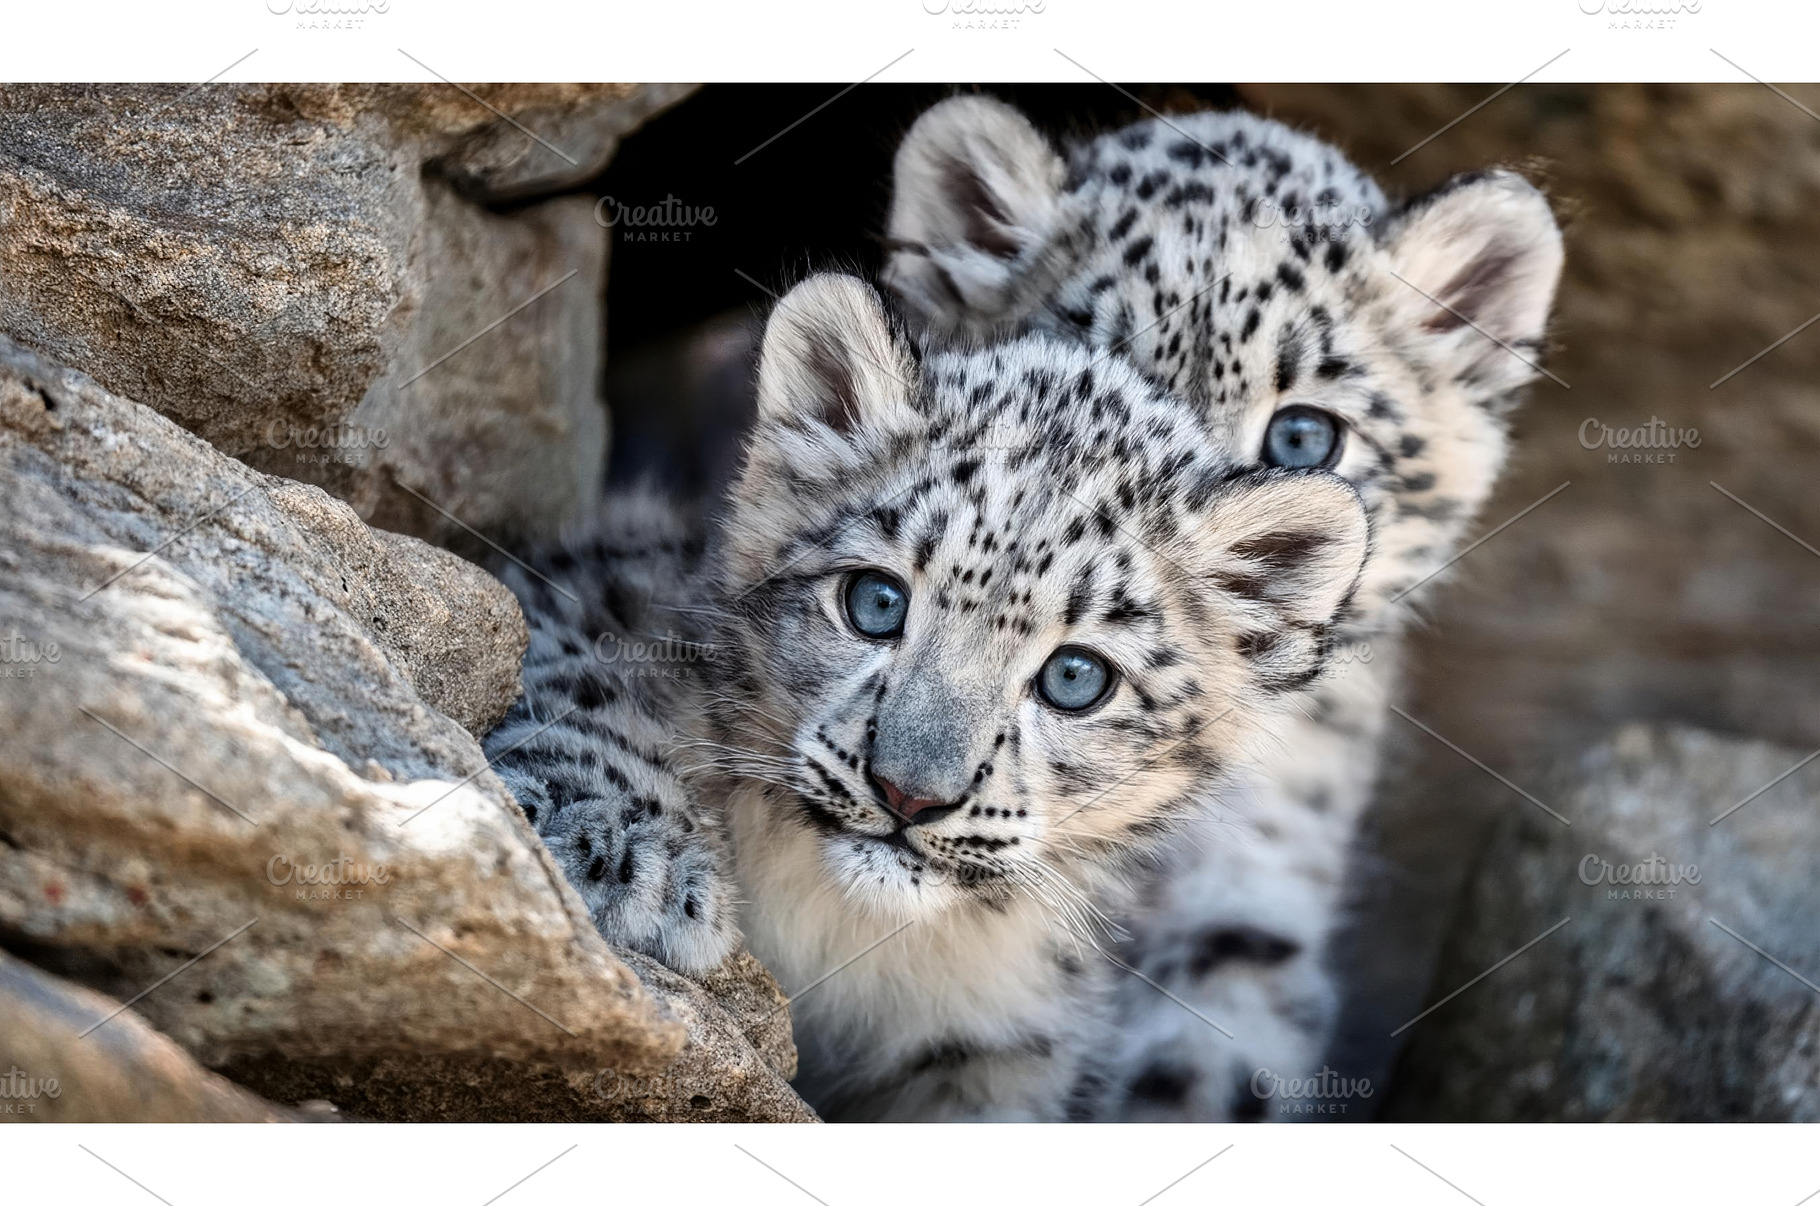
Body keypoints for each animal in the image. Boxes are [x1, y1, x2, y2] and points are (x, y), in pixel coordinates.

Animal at [484, 271, 1374, 1120]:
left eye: (1076, 677)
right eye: (876, 602)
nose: (908, 795)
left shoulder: (997, 1056)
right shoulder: (596, 583)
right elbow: (575, 671)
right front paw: (623, 849)